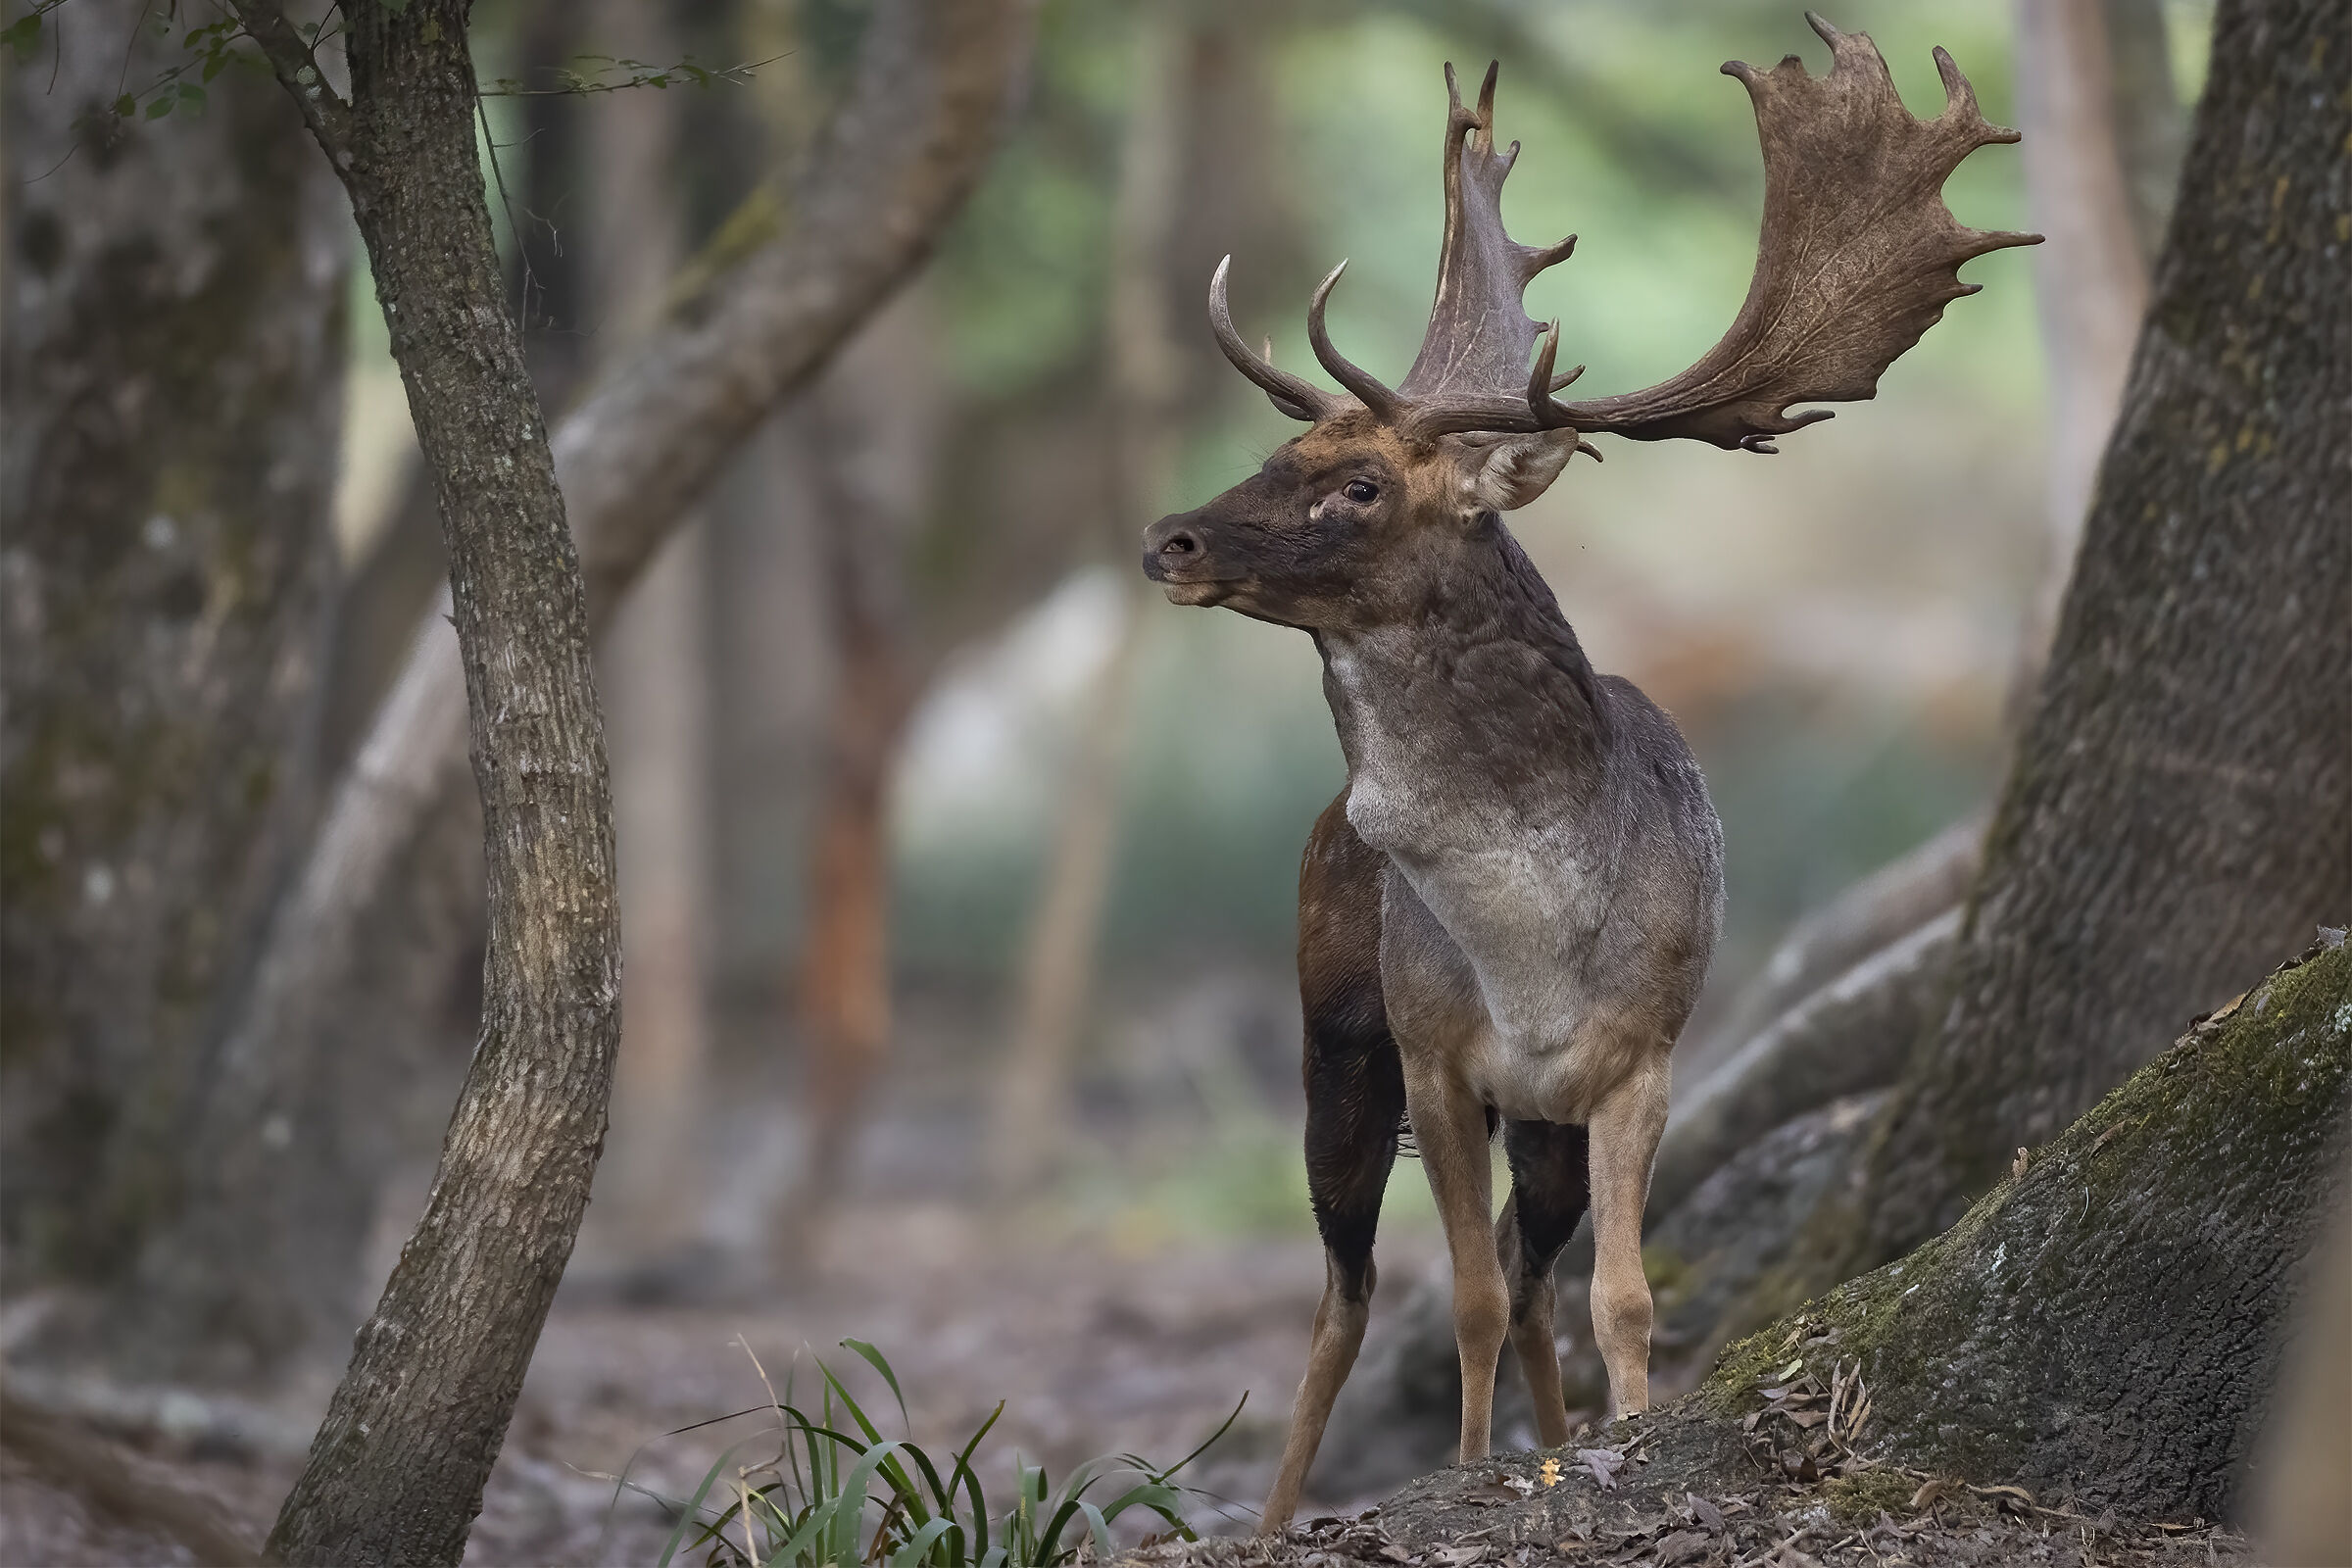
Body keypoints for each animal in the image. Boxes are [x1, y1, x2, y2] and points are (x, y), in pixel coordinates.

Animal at [1138, 16, 2035, 1532]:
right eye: (1280, 448)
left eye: (1362, 483)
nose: (1169, 539)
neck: (1534, 948)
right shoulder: (1435, 1052)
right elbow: (1462, 1298)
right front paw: (1463, 1470)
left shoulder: (1643, 1060)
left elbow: (1618, 1296)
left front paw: (1621, 1446)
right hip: (1337, 1036)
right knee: (1347, 1291)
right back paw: (1267, 1519)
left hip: (1534, 1123)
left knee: (1530, 1275)